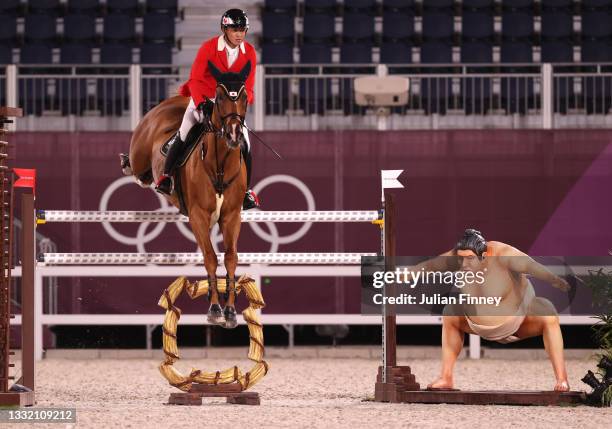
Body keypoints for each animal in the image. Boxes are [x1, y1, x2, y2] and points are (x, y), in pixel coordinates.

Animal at [122, 61, 251, 328]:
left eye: (244, 97)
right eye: (220, 97)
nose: (234, 134)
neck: (220, 164)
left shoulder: (232, 216)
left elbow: (230, 257)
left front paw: (230, 311)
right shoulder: (198, 216)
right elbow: (210, 257)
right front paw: (214, 309)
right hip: (140, 155)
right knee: (138, 170)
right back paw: (134, 167)